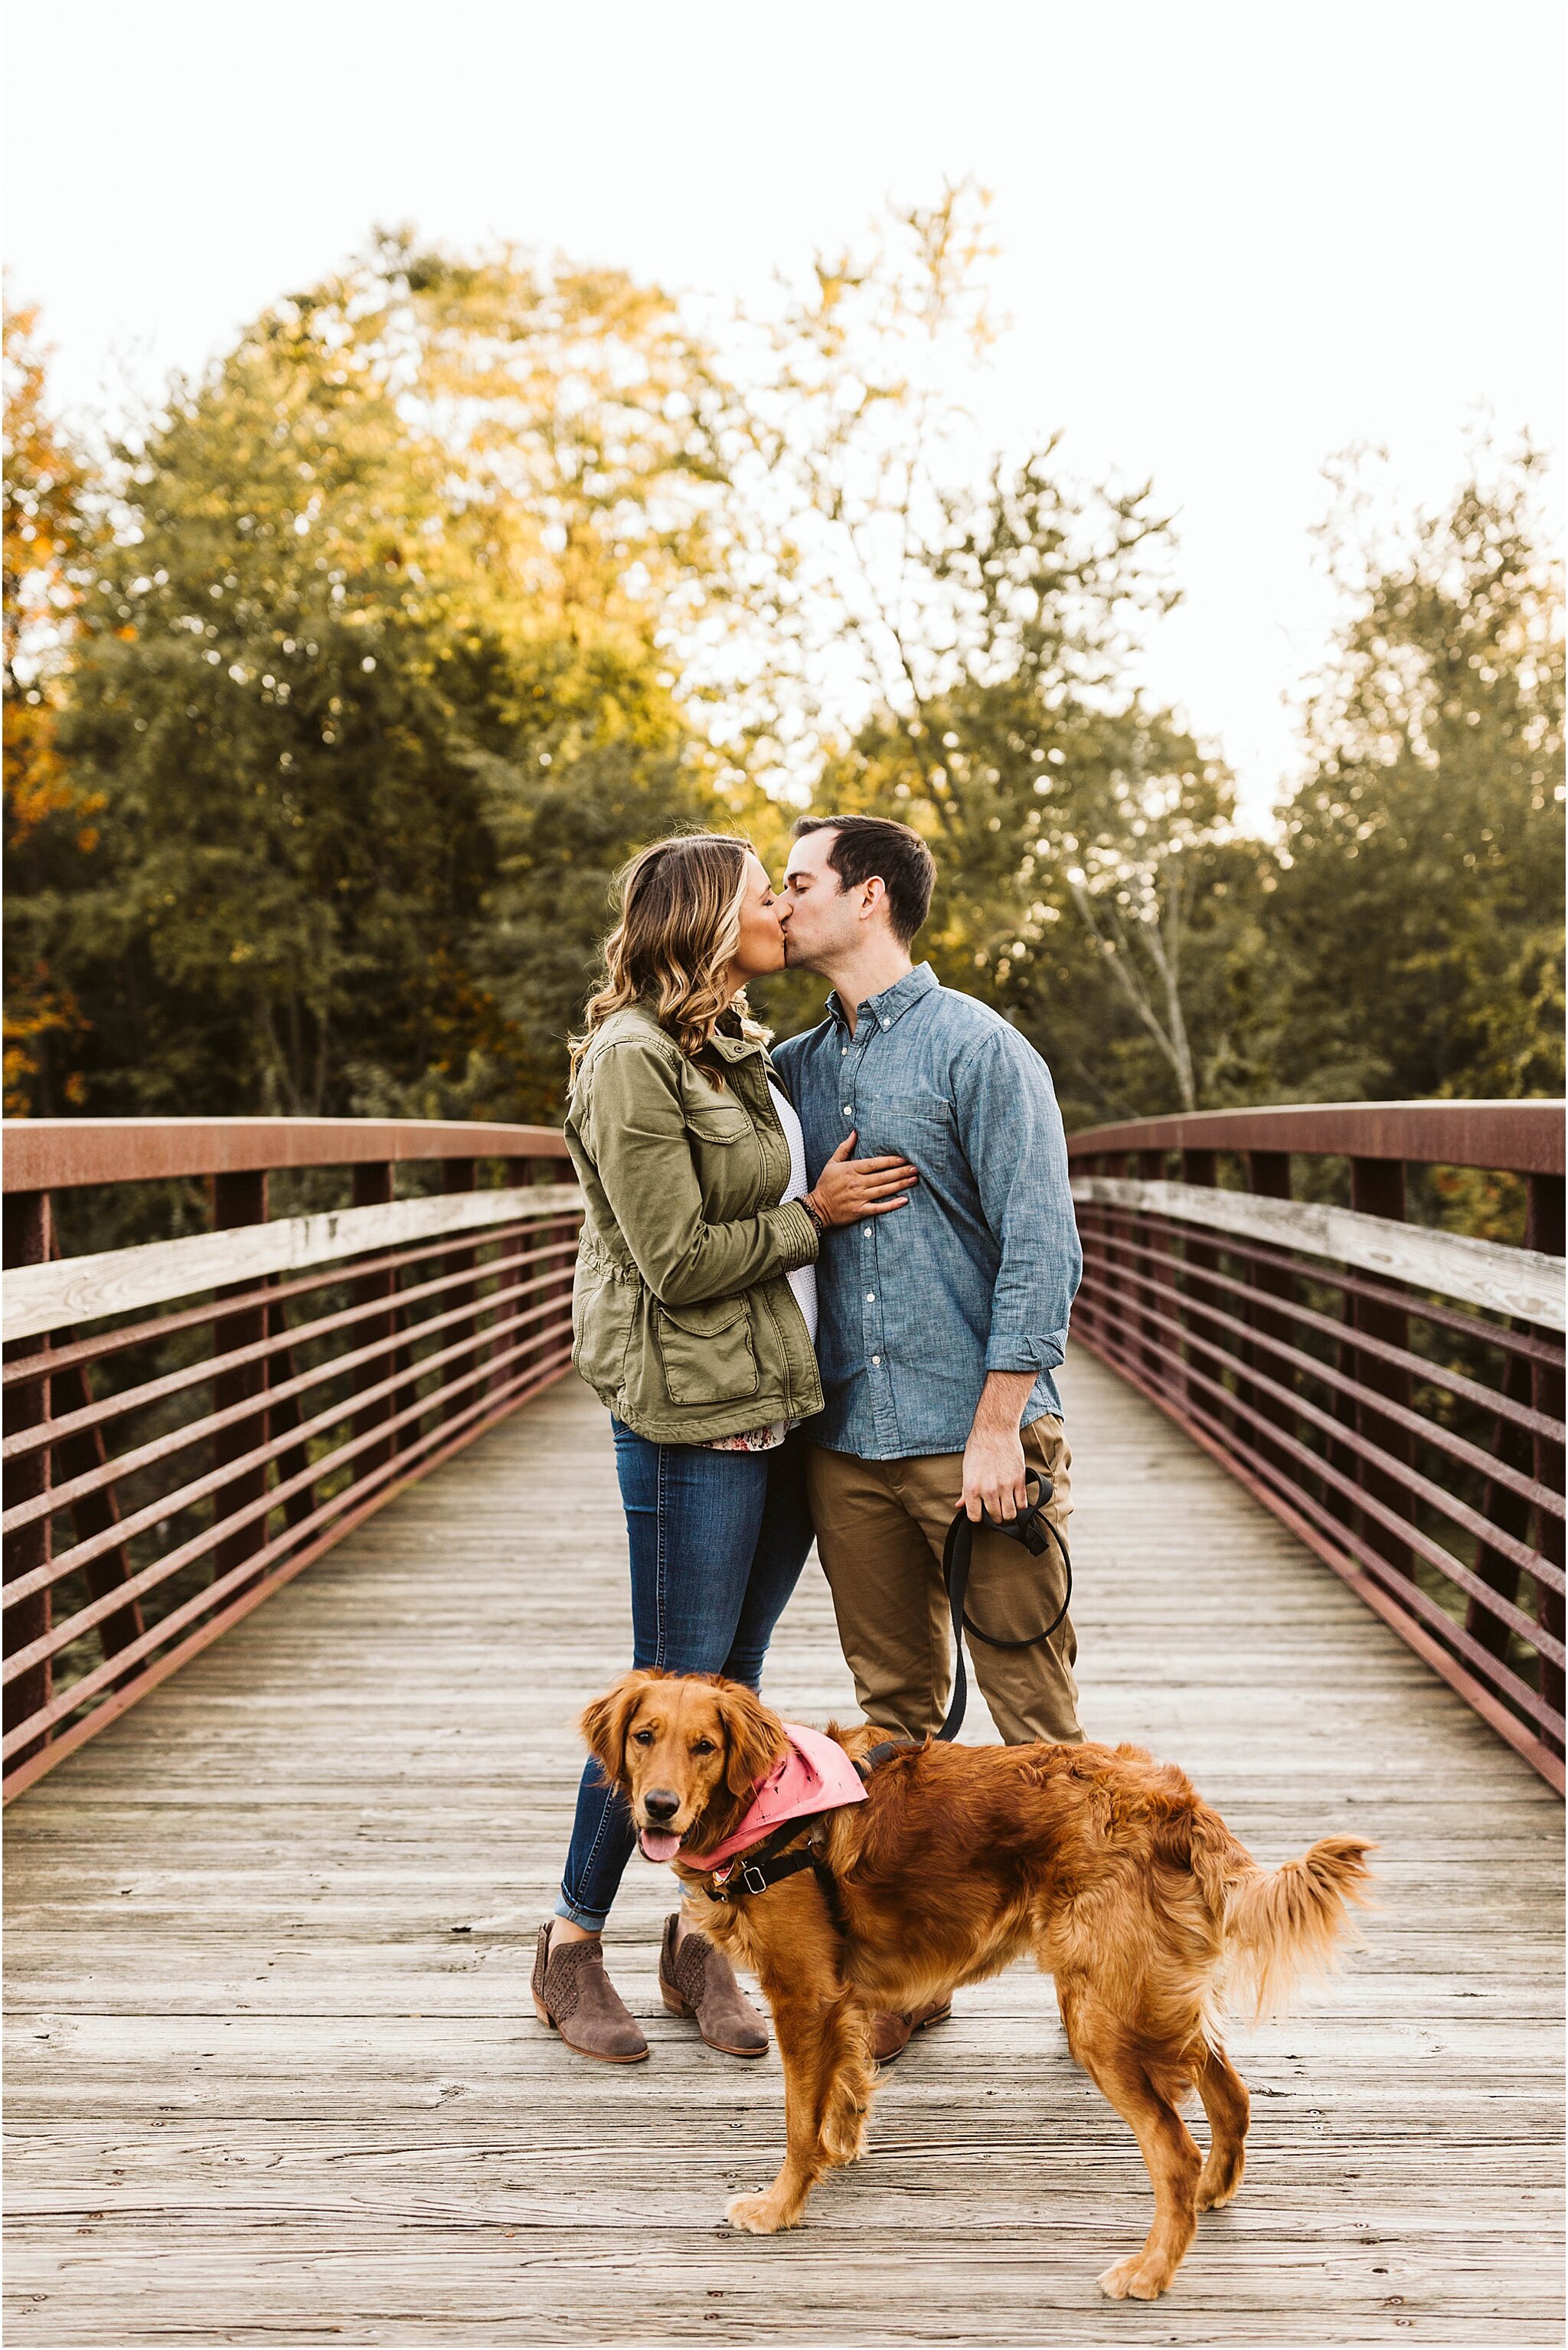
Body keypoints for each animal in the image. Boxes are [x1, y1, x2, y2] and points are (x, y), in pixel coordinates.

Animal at [580, 1663, 1373, 2303]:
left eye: (704, 1747)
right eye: (645, 1736)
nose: (657, 1805)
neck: (767, 1809)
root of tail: (1177, 1806)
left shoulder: (801, 1995)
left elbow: (798, 2120)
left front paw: (781, 2205)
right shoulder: (841, 1995)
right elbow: (847, 2082)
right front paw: (844, 2145)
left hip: (1102, 2018)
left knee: (1175, 2154)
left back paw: (1150, 2271)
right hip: (1150, 1997)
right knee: (1232, 2095)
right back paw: (1214, 2191)